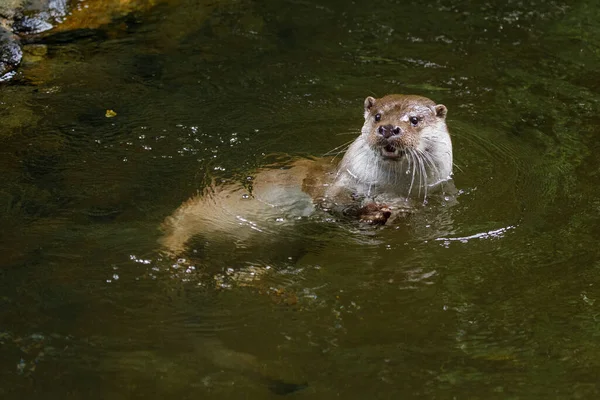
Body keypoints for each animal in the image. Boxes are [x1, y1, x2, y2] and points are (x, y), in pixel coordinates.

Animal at [159, 94, 450, 253]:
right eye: (378, 116)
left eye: (414, 120)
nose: (388, 128)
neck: (387, 186)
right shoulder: (334, 182)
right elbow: (330, 201)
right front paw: (368, 212)